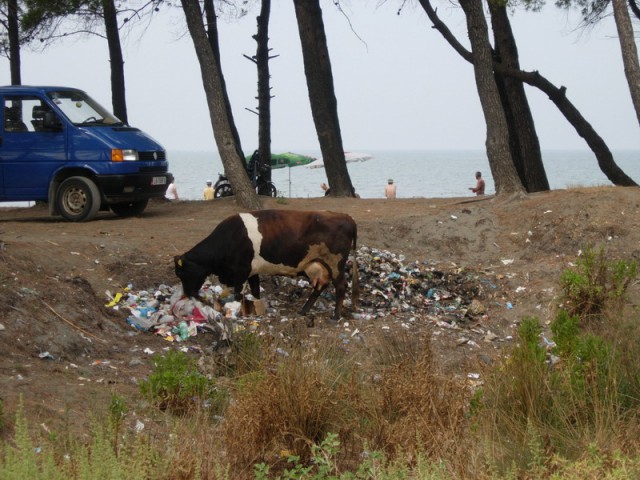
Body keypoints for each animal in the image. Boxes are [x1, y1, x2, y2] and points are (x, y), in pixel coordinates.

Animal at [174, 209, 360, 318]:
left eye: (182, 273)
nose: (187, 294)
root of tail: (346, 216)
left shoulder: (241, 270)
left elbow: (238, 293)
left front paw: (239, 311)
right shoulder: (252, 271)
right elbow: (256, 291)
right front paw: (256, 309)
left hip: (336, 263)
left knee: (341, 285)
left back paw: (335, 315)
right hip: (316, 266)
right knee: (320, 286)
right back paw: (304, 310)